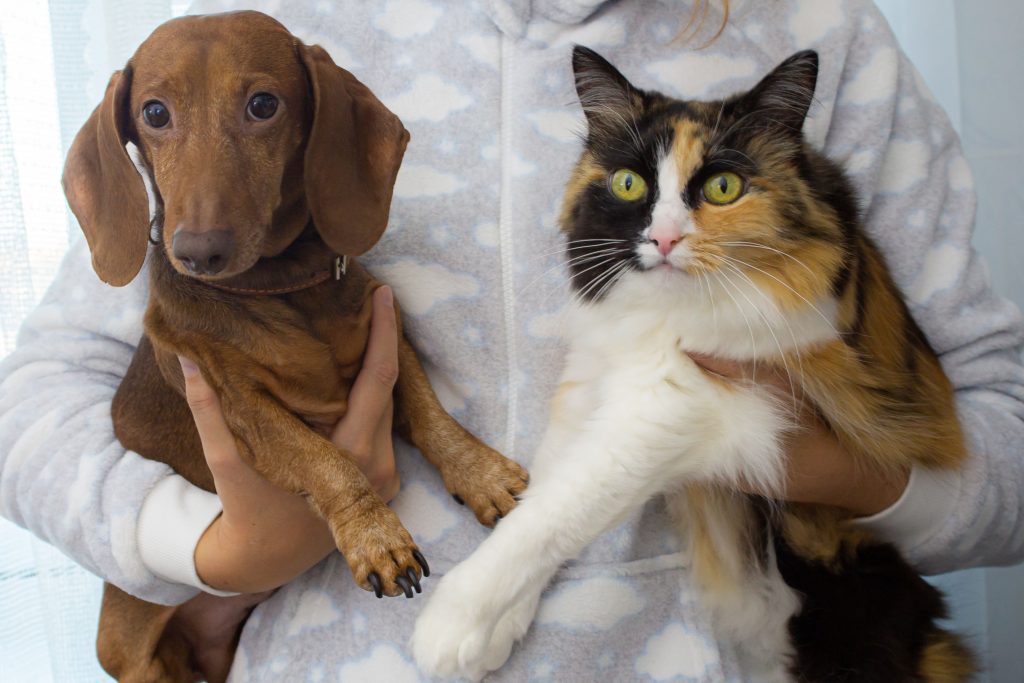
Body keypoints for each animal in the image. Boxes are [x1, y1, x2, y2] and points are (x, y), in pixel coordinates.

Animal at [61, 10, 528, 683]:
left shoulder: (388, 335)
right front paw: (375, 535)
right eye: (153, 113)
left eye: (263, 104)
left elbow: (431, 413)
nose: (198, 252)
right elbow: (326, 460)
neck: (279, 286)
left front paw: (478, 472)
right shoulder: (241, 406)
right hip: (139, 659)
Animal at [409, 48, 974, 683]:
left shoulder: (680, 404)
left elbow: (555, 513)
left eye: (723, 187)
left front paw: (453, 624)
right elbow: (542, 495)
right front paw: (497, 631)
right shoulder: (590, 383)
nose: (663, 239)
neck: (660, 315)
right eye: (629, 183)